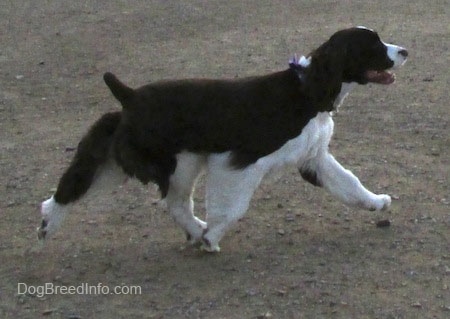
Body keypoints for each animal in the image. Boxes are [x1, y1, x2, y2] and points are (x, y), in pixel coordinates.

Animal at [38, 26, 408, 252]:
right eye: (373, 45)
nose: (403, 50)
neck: (307, 91)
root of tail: (129, 95)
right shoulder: (240, 160)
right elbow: (233, 206)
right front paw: (212, 236)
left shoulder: (313, 156)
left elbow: (348, 182)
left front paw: (377, 202)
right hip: (170, 162)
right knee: (173, 202)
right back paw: (199, 232)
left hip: (149, 159)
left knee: (76, 185)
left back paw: (46, 224)